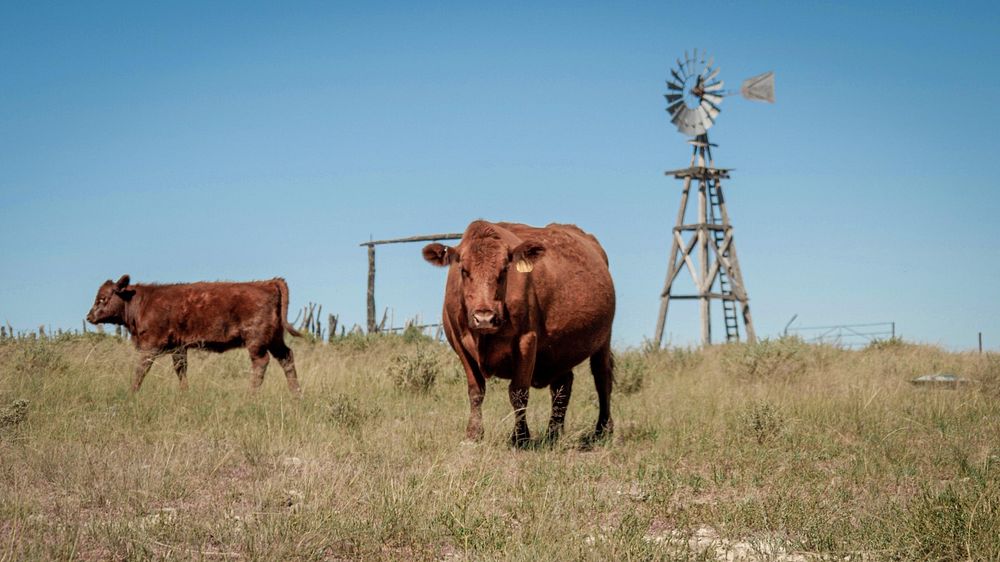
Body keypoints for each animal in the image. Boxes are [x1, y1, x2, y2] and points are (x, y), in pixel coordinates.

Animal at [86, 274, 302, 392]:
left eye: (103, 298)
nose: (89, 317)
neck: (141, 301)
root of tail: (267, 282)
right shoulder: (178, 348)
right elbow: (181, 370)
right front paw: (185, 393)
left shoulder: (151, 346)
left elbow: (141, 370)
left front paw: (132, 392)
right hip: (274, 340)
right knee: (286, 358)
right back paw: (296, 395)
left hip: (256, 341)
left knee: (261, 362)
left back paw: (251, 395)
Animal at [424, 221, 616, 444]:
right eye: (463, 270)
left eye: (504, 270)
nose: (484, 317)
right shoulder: (459, 343)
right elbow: (476, 391)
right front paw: (473, 434)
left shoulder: (526, 340)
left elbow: (518, 392)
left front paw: (520, 437)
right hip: (561, 348)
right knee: (562, 386)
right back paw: (553, 433)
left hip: (603, 340)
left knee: (602, 380)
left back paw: (602, 429)